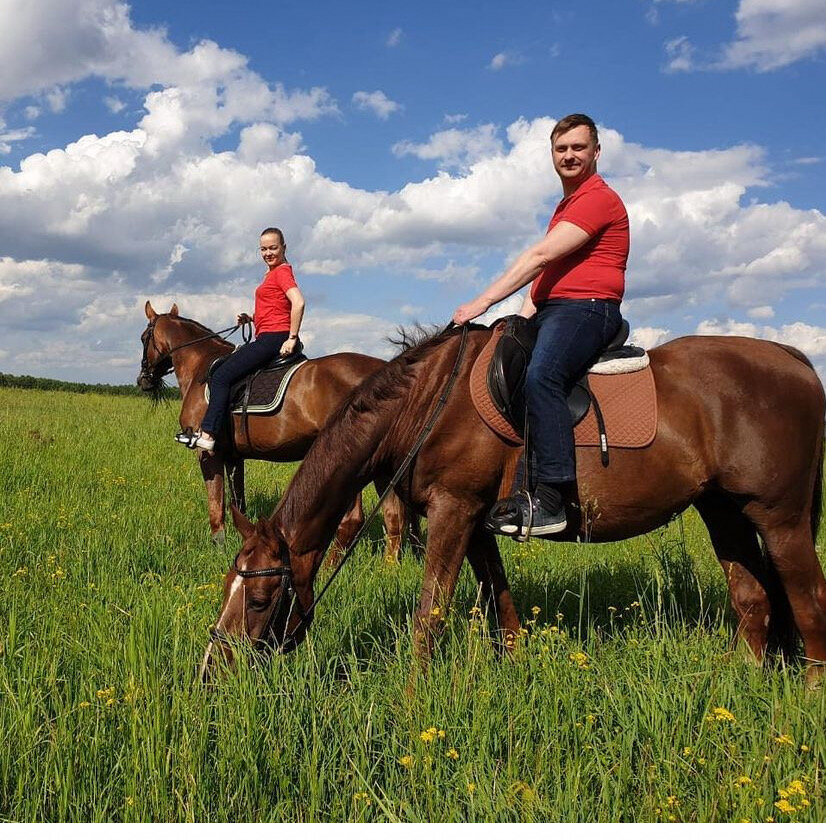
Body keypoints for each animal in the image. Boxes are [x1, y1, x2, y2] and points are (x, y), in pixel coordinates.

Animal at [135, 304, 406, 564]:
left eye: (143, 338)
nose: (143, 380)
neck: (200, 367)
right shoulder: (234, 457)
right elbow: (238, 502)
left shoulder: (208, 452)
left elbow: (216, 504)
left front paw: (218, 547)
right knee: (394, 515)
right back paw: (389, 567)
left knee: (353, 519)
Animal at [201, 326, 824, 684]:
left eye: (260, 599)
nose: (213, 670)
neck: (430, 400)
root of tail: (794, 358)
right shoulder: (476, 520)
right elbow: (500, 601)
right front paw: (515, 665)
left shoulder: (454, 510)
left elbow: (430, 610)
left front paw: (414, 694)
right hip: (725, 511)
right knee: (754, 600)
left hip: (782, 519)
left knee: (807, 601)